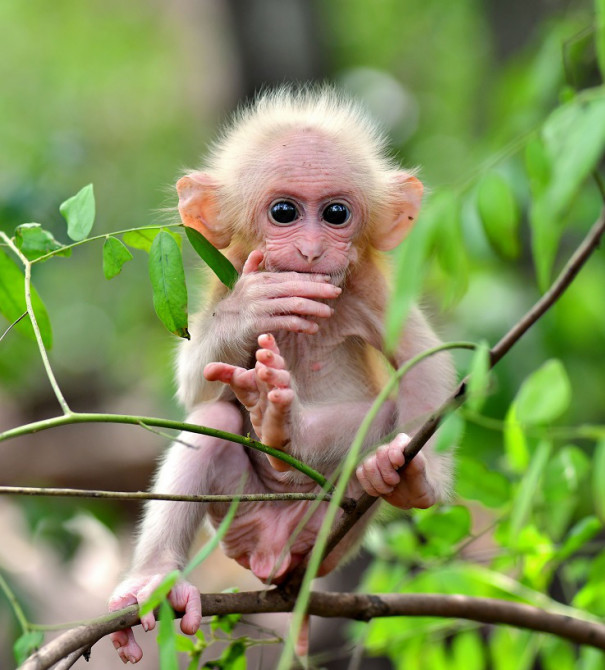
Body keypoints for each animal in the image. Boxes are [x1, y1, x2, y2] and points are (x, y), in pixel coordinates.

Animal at [108, 86, 452, 664]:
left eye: (336, 213)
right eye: (284, 212)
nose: (312, 249)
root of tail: (272, 552)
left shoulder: (370, 288)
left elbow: (426, 368)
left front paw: (416, 479)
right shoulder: (229, 273)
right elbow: (194, 383)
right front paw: (252, 311)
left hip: (327, 534)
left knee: (382, 414)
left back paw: (296, 433)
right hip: (235, 518)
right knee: (214, 421)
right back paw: (156, 577)